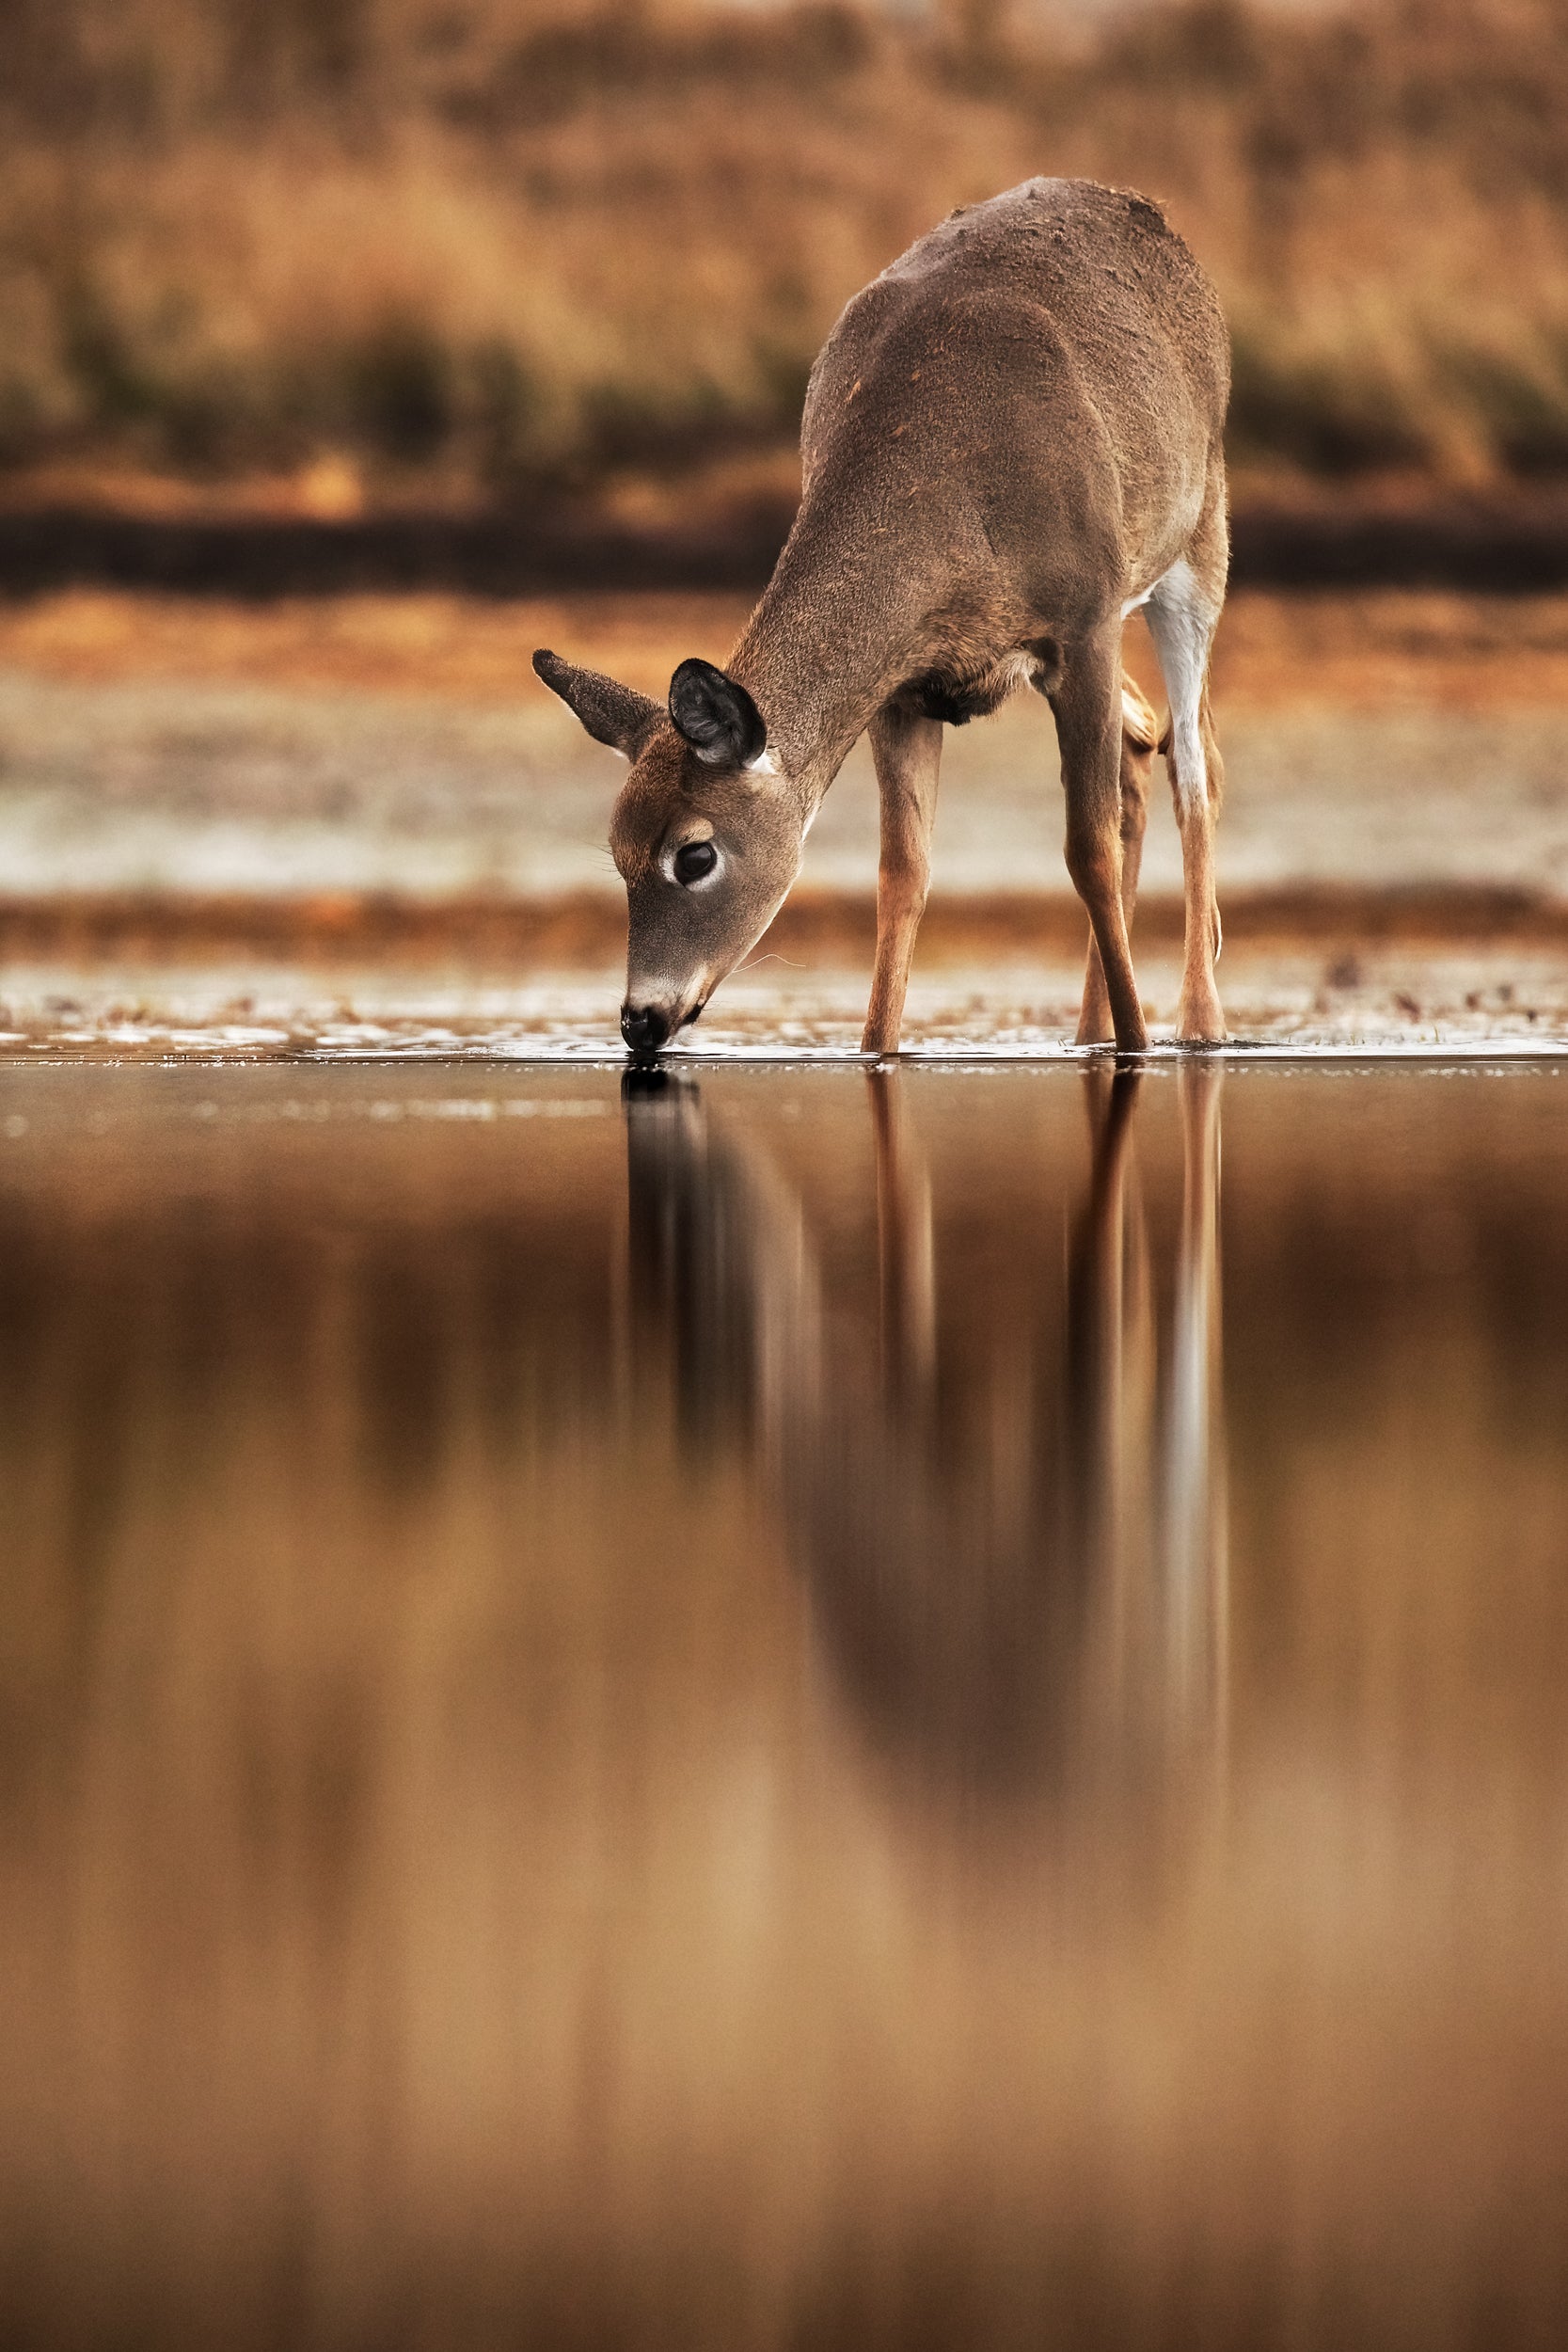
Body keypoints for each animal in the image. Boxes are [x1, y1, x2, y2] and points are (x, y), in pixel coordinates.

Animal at [535, 176, 1230, 1058]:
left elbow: (1086, 850)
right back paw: (1086, 1031)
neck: (956, 503)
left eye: (694, 854)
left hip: (1196, 542)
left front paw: (1138, 1046)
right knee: (1145, 740)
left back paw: (1198, 1025)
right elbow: (903, 873)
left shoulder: (1082, 622)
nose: (639, 1021)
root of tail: (1149, 215)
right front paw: (877, 1048)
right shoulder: (905, 685)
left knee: (1193, 762)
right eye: (617, 852)